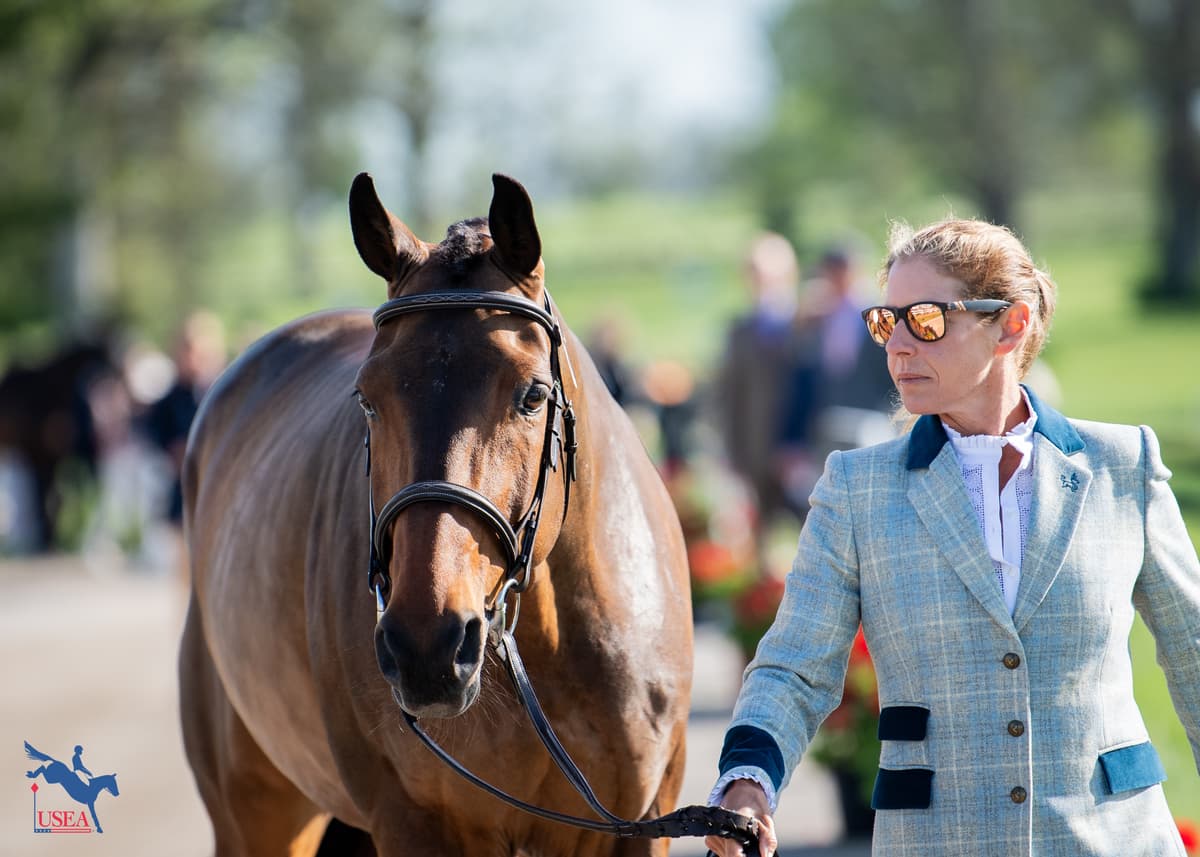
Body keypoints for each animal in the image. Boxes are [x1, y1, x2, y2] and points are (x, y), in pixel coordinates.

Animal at [179, 173, 694, 856]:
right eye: (366, 398)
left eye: (533, 395)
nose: (427, 645)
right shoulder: (412, 821)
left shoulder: (639, 822)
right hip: (254, 812)